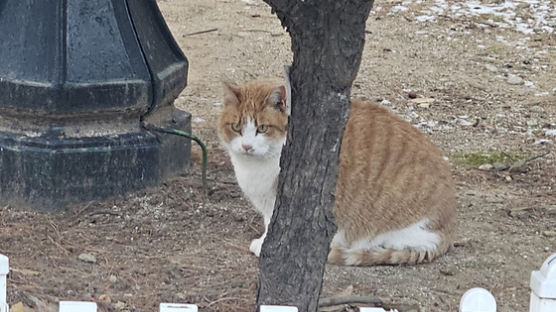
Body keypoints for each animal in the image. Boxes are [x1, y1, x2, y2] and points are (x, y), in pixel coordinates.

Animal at [217, 80, 456, 266]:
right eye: (237, 127)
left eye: (262, 128)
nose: (247, 146)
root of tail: (449, 227)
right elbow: (270, 222)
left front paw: (269, 244)